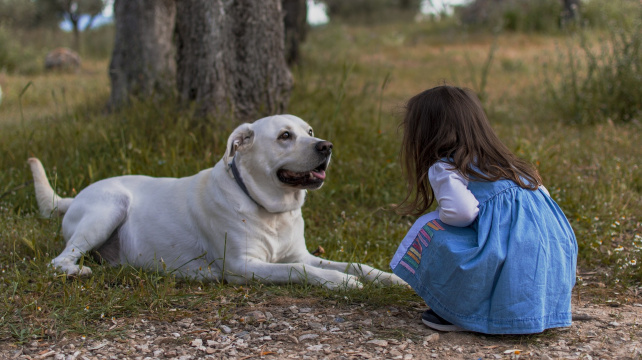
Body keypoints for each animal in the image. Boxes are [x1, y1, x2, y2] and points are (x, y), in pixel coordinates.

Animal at [30, 115, 402, 290]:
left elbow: (355, 264)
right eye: (285, 136)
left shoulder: (301, 253)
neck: (270, 210)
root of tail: (73, 197)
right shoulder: (243, 266)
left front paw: (389, 278)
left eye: (309, 131)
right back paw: (76, 272)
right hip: (110, 207)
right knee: (58, 260)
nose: (326, 146)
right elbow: (301, 271)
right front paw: (341, 282)